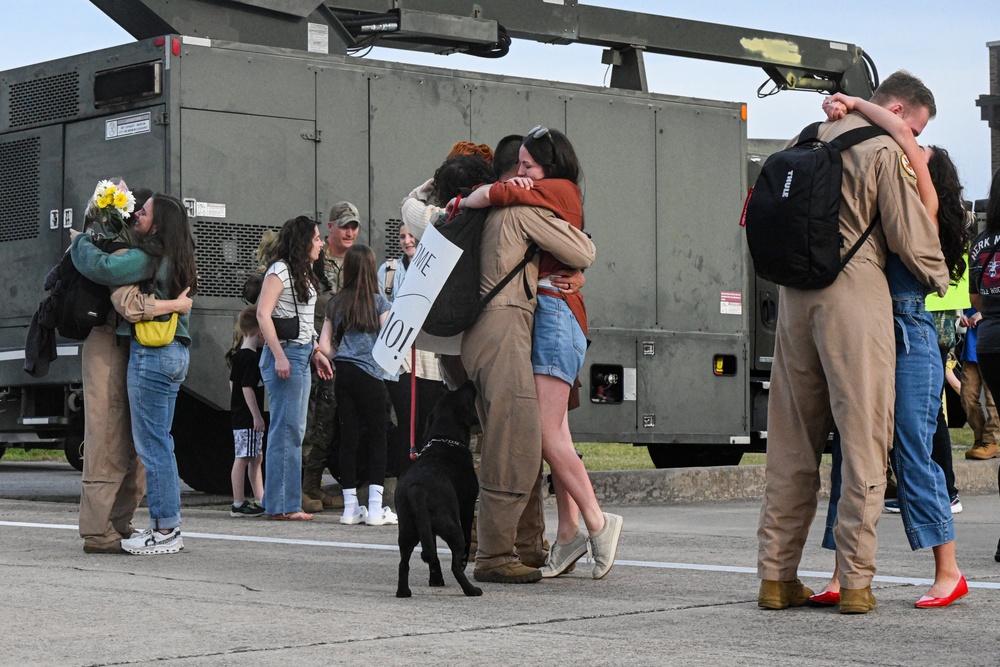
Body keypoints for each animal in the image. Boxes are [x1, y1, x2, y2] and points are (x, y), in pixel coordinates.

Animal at [392, 380, 482, 600]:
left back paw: (403, 592)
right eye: (466, 395)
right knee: (456, 566)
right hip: (452, 528)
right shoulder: (467, 507)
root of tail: (417, 489)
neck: (444, 439)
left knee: (404, 563)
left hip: (407, 530)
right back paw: (471, 590)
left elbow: (431, 551)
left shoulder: (427, 529)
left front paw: (435, 580)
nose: (468, 382)